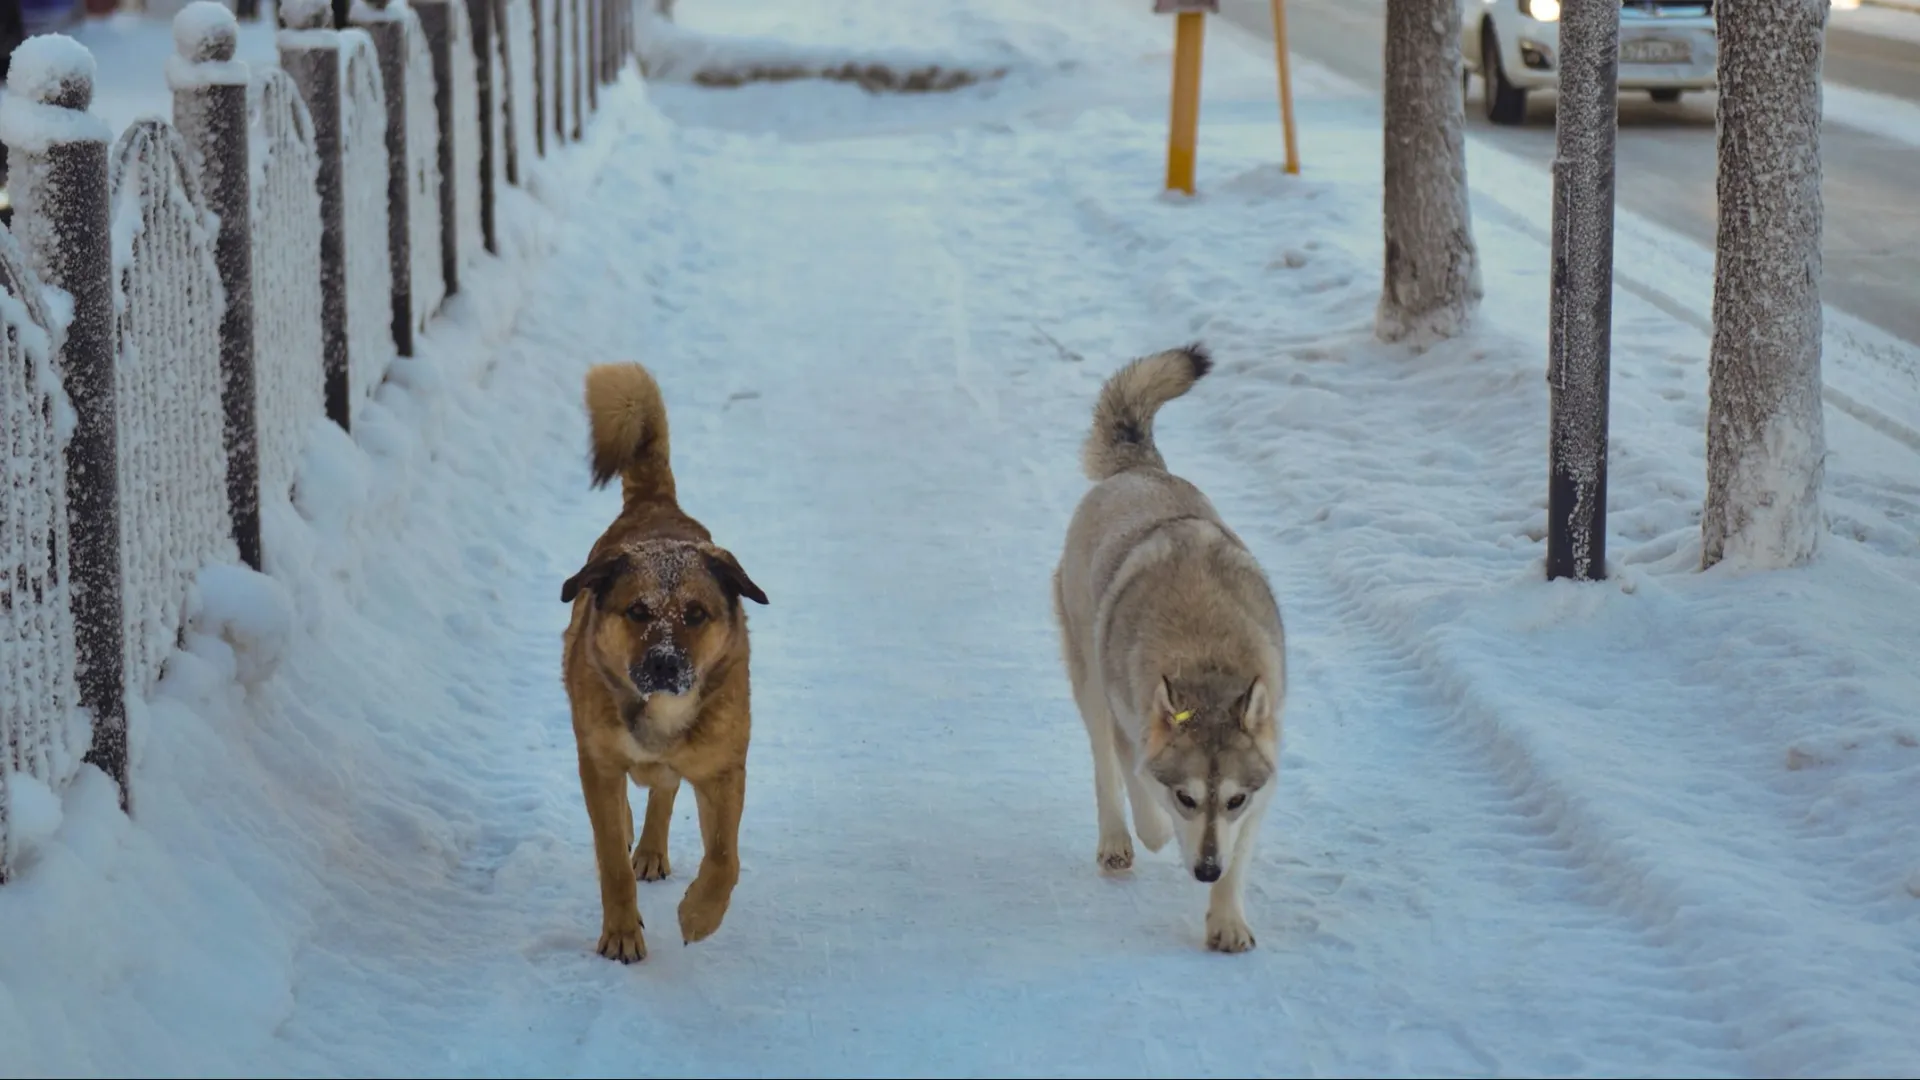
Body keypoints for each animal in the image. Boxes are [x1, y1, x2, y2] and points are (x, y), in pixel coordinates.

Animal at [556, 359, 764, 957]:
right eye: (637, 611)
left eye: (695, 613)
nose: (667, 664)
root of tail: (657, 506)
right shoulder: (598, 762)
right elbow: (609, 860)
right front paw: (622, 934)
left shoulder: (723, 768)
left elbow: (725, 857)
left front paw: (699, 915)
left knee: (665, 792)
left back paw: (651, 848)